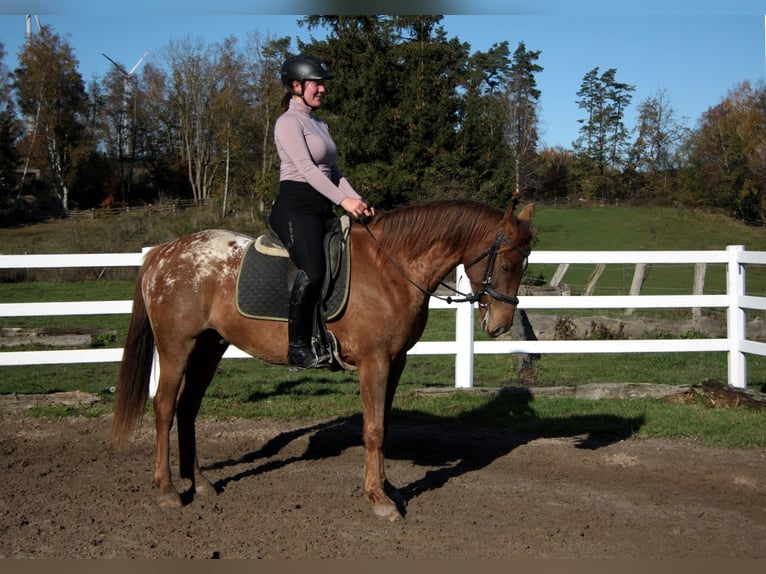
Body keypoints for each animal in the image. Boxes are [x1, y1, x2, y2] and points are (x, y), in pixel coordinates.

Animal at [112, 198, 536, 520]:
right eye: (506, 263)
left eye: (525, 263)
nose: (500, 325)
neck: (391, 268)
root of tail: (163, 254)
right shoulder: (374, 362)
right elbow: (373, 429)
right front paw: (379, 499)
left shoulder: (395, 362)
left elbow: (384, 426)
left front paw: (388, 488)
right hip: (176, 347)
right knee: (165, 407)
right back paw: (167, 489)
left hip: (208, 347)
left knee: (187, 408)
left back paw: (199, 482)